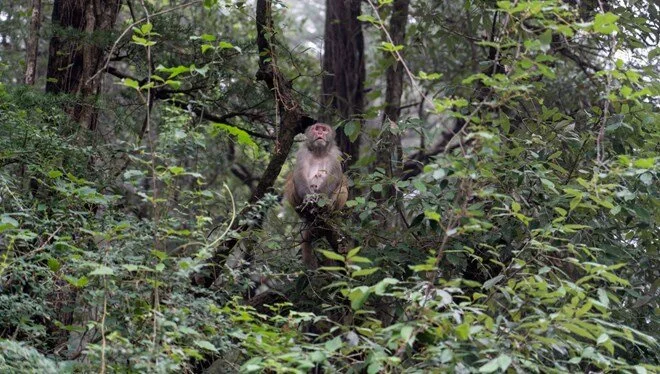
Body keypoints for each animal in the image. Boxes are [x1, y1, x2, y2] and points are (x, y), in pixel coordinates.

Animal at [284, 122, 350, 268]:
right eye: (316, 128)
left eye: (324, 130)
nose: (320, 133)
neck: (319, 152)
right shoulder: (303, 152)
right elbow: (299, 174)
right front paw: (308, 199)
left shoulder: (335, 154)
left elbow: (335, 177)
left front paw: (319, 200)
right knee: (291, 178)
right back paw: (305, 211)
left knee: (343, 184)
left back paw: (327, 209)